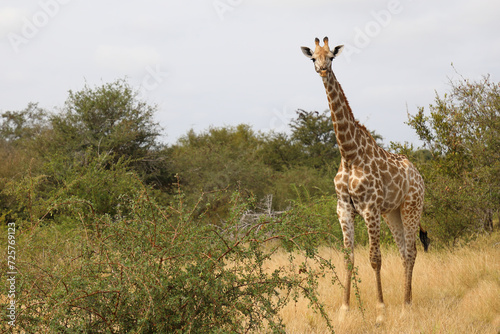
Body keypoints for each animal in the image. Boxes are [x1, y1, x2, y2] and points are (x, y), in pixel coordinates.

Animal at [298, 37, 432, 324]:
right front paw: (344, 310)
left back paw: (406, 306)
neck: (349, 153)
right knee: (404, 252)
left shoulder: (370, 207)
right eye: (313, 57)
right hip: (392, 212)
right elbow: (348, 258)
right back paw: (405, 303)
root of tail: (417, 174)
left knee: (412, 251)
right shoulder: (344, 208)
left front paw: (381, 311)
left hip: (412, 206)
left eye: (331, 57)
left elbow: (375, 257)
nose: (322, 69)